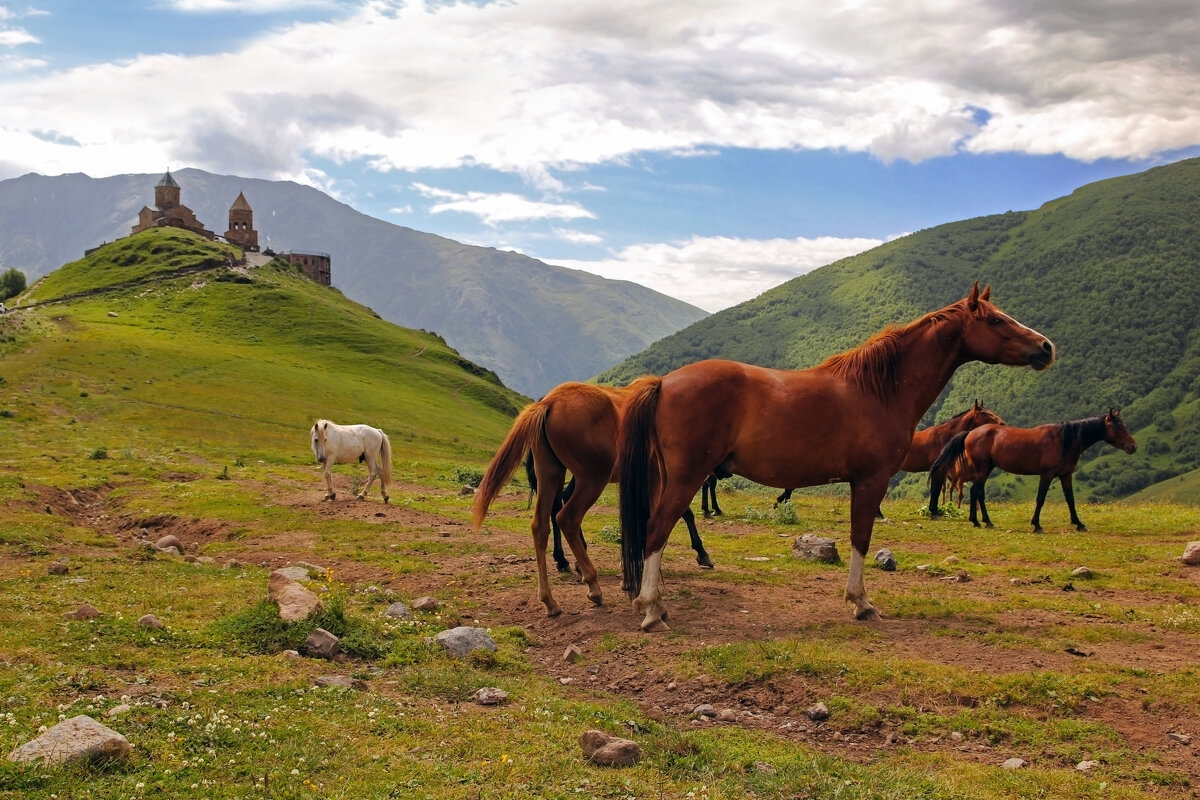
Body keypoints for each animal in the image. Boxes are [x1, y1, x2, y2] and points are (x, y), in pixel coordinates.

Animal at [468, 379, 710, 618]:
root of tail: (549, 402)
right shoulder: (655, 477)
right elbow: (661, 518)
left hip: (550, 473)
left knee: (540, 525)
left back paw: (550, 599)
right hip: (592, 479)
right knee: (566, 518)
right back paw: (592, 584)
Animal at [926, 412, 1132, 532]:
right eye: (1117, 426)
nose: (1133, 446)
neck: (1064, 440)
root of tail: (970, 433)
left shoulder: (1066, 475)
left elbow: (1070, 499)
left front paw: (1079, 524)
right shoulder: (1047, 475)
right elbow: (1040, 499)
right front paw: (1037, 524)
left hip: (985, 470)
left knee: (976, 492)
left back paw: (979, 521)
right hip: (982, 469)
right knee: (977, 492)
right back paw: (983, 521)